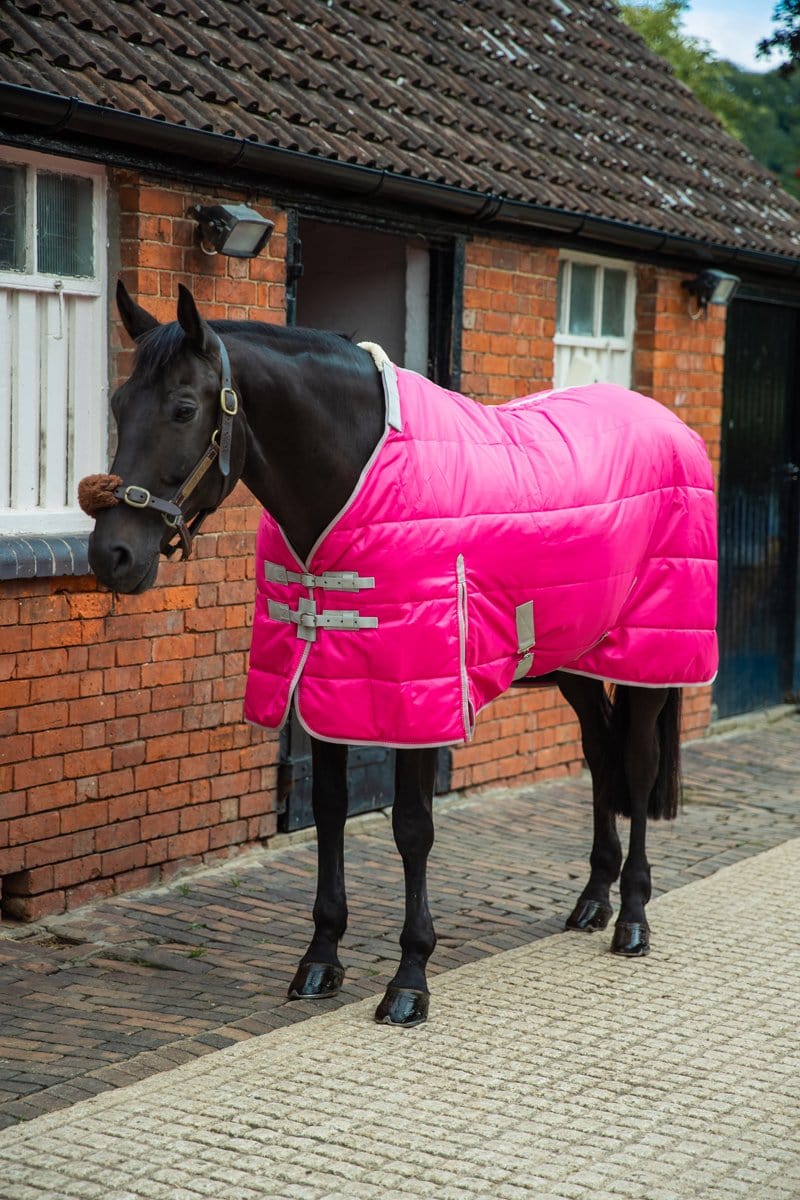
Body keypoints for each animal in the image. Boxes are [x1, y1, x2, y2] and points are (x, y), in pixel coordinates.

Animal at [81, 281, 717, 1027]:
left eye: (183, 408)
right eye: (119, 404)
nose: (112, 554)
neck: (356, 477)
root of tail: (674, 429)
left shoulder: (420, 697)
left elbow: (413, 829)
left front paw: (410, 978)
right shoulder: (324, 686)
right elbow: (329, 812)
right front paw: (320, 959)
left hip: (648, 658)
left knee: (638, 768)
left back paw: (634, 917)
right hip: (576, 663)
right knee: (599, 757)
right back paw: (593, 898)